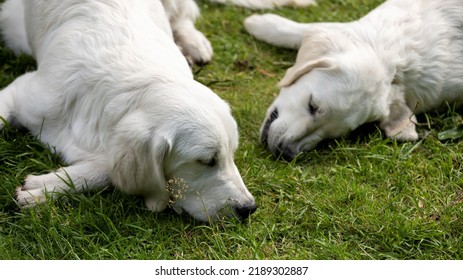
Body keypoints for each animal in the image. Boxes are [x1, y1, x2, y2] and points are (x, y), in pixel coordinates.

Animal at [0, 0, 260, 223]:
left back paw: (194, 43)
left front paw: (42, 187)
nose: (249, 207)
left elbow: (108, 169)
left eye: (232, 154)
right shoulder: (24, 94)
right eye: (205, 161)